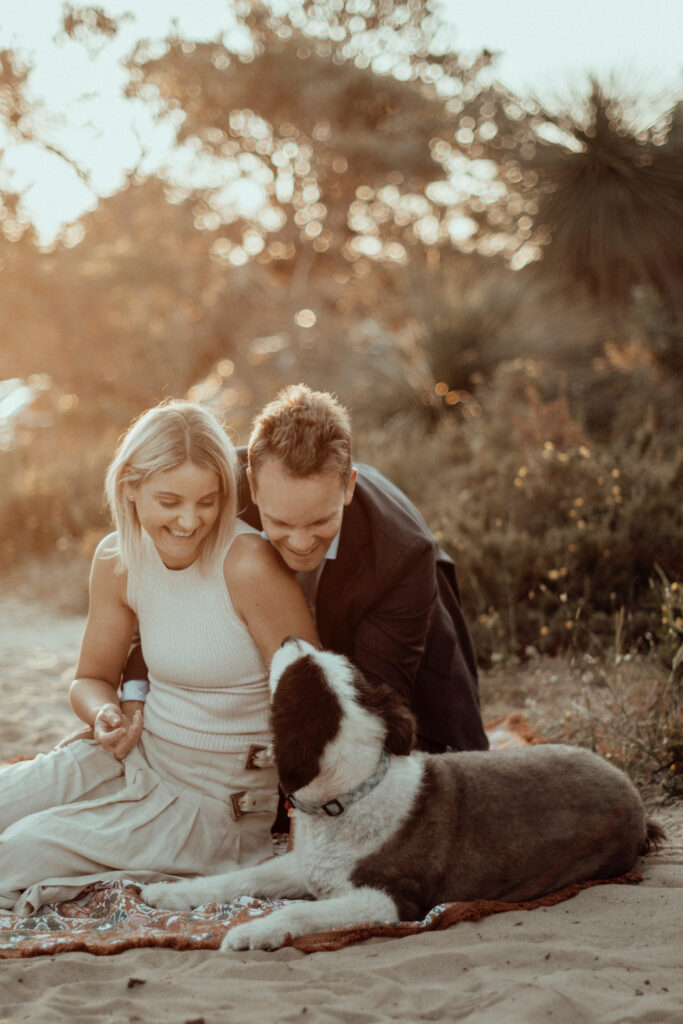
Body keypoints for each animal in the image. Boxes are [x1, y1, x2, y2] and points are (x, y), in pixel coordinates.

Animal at [141, 634, 663, 946]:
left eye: (295, 672)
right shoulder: (306, 864)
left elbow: (304, 914)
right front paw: (168, 894)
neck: (351, 794)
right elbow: (242, 877)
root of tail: (634, 794)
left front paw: (254, 932)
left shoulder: (390, 900)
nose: (290, 638)